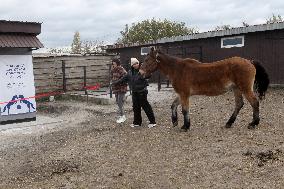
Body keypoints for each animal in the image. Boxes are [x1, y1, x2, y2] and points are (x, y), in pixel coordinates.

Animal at [141, 47, 270, 131]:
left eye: (147, 60)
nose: (141, 73)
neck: (177, 69)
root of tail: (249, 61)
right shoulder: (182, 94)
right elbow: (173, 105)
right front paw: (175, 121)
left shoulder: (184, 94)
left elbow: (185, 110)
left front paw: (185, 126)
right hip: (236, 89)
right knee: (239, 104)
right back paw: (229, 123)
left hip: (245, 89)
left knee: (254, 102)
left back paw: (253, 124)